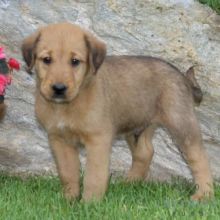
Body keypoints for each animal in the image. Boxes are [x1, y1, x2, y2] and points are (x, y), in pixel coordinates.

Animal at [21, 22, 212, 201]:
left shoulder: (98, 140)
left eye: (75, 61)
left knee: (199, 157)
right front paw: (69, 200)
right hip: (138, 125)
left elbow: (94, 176)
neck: (66, 105)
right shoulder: (59, 140)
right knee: (145, 153)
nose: (59, 88)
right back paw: (129, 184)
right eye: (46, 59)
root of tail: (182, 77)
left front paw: (89, 204)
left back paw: (203, 195)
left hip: (181, 123)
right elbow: (68, 173)